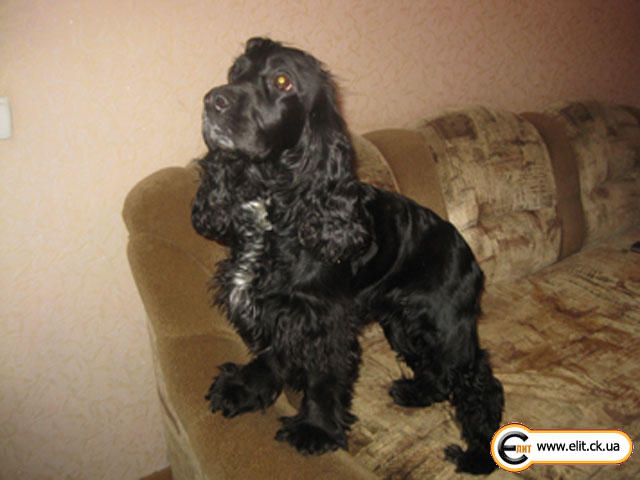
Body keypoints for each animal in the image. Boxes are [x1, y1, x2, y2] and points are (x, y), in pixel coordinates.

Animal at [191, 37, 504, 474]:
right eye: (235, 73)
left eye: (283, 81)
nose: (213, 100)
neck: (275, 208)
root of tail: (466, 251)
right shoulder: (276, 310)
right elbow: (273, 351)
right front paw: (244, 388)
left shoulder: (324, 321)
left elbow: (323, 378)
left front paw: (316, 430)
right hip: (403, 324)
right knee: (441, 375)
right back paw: (416, 392)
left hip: (445, 325)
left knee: (478, 380)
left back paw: (479, 453)